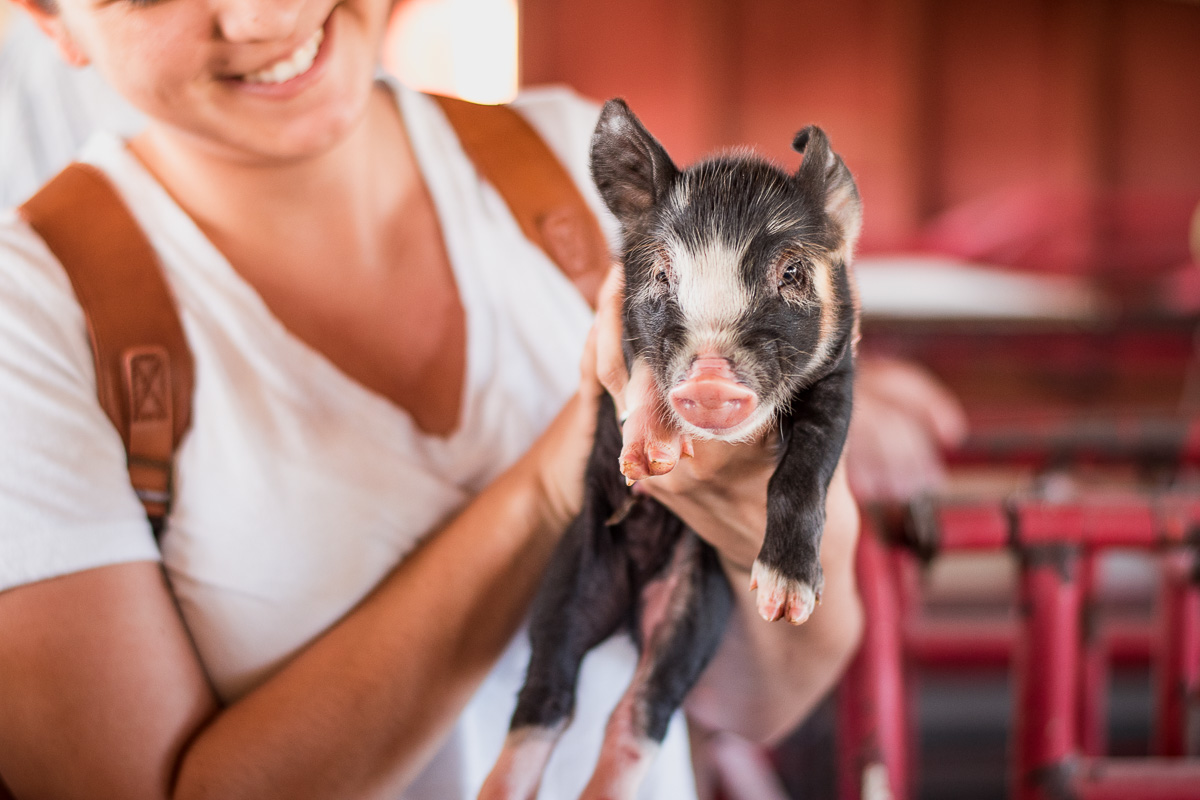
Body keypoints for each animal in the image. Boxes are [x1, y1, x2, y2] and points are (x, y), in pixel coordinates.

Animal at [478, 98, 862, 800]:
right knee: (547, 695)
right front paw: (645, 457)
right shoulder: (617, 325)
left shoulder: (839, 374)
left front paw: (785, 603)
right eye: (660, 273)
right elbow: (639, 375)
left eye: (792, 272)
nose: (709, 375)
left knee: (641, 709)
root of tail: (628, 603)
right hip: (573, 572)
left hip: (696, 606)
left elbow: (807, 468)